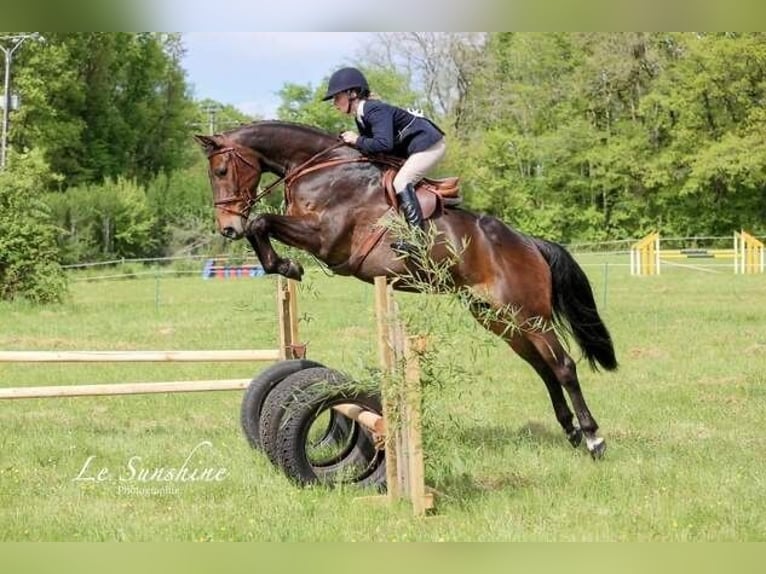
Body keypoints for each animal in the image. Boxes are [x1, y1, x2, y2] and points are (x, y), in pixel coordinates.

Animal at [196, 120, 616, 460]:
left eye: (221, 170)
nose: (227, 228)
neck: (320, 170)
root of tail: (529, 244)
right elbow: (261, 226)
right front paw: (283, 265)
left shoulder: (326, 239)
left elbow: (261, 222)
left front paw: (287, 266)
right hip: (497, 318)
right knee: (542, 368)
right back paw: (571, 431)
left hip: (527, 314)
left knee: (563, 366)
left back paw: (593, 438)